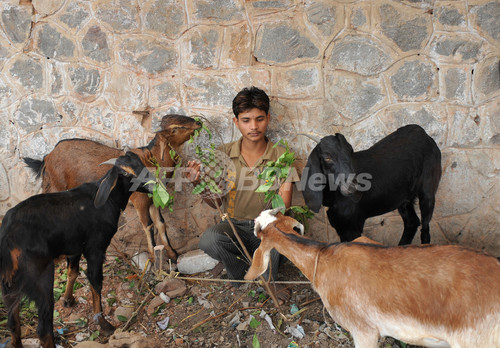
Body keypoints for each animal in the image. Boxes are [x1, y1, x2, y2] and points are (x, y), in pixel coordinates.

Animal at [0, 151, 153, 346]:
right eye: (125, 173)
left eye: (140, 163)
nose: (152, 184)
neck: (108, 199)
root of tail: (8, 239)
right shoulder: (95, 248)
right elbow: (95, 281)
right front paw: (103, 323)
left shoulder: (74, 247)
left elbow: (72, 271)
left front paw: (68, 299)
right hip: (41, 277)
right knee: (43, 329)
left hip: (8, 286)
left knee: (13, 324)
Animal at [300, 125, 442, 245]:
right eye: (327, 157)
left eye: (350, 152)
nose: (352, 186)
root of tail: (423, 134)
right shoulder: (341, 226)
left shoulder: (353, 225)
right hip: (403, 199)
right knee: (412, 222)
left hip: (427, 192)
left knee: (425, 228)